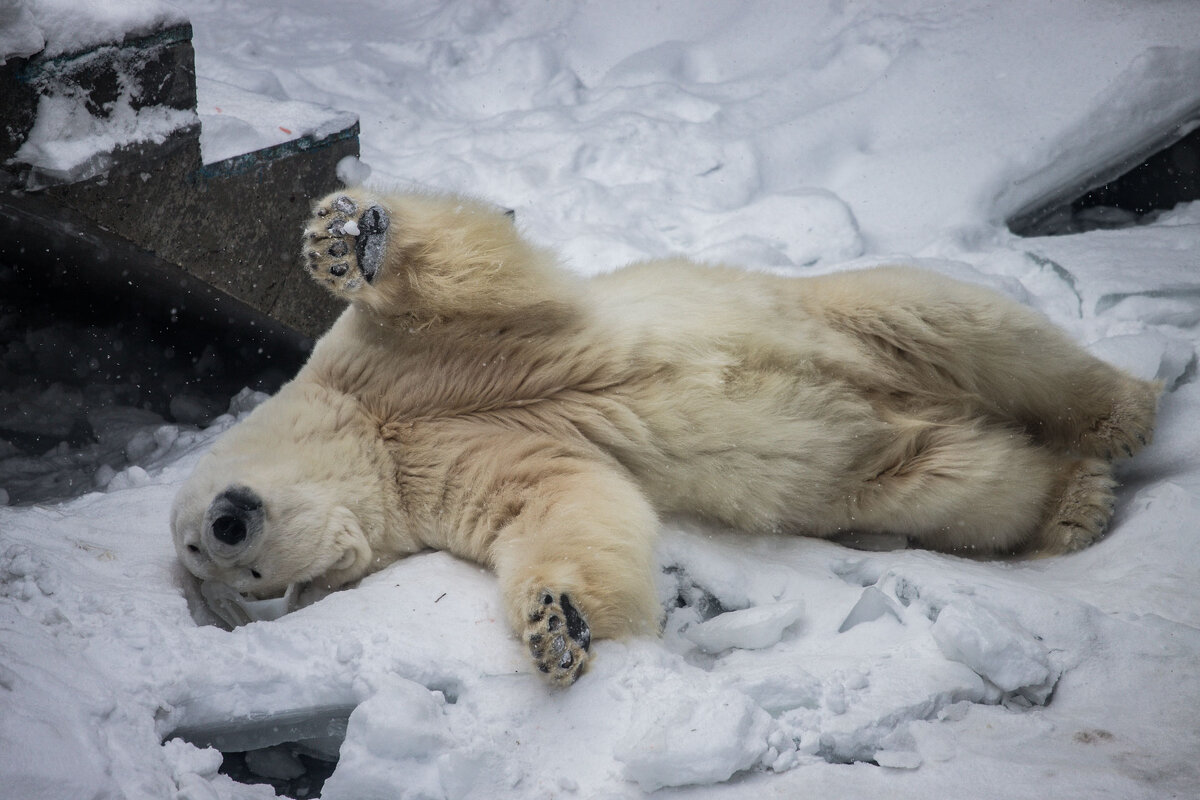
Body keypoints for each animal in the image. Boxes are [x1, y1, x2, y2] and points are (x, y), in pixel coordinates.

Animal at [169, 190, 1152, 686]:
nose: (225, 523)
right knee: (964, 483)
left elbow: (473, 281)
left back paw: (1130, 408)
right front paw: (554, 625)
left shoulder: (391, 363)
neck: (383, 432)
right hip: (884, 469)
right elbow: (564, 499)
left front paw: (346, 238)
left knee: (961, 322)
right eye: (234, 580)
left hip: (850, 316)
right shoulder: (437, 478)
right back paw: (1073, 501)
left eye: (200, 543)